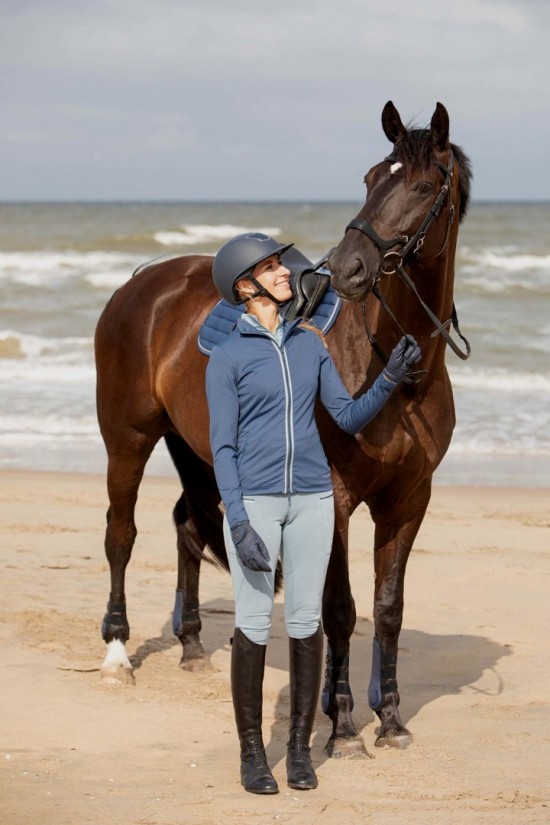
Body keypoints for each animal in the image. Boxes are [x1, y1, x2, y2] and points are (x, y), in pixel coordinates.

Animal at [94, 100, 472, 757]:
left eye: (424, 187)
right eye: (371, 178)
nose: (349, 267)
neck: (397, 371)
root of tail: (140, 282)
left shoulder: (409, 500)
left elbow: (389, 607)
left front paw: (391, 720)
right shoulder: (337, 499)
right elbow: (340, 608)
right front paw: (341, 726)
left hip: (200, 451)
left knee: (187, 525)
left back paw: (192, 645)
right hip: (128, 440)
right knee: (122, 534)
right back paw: (117, 652)